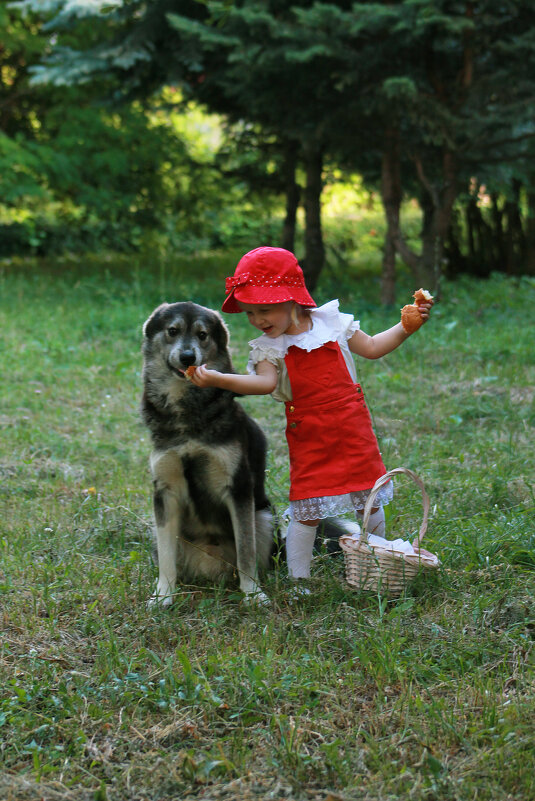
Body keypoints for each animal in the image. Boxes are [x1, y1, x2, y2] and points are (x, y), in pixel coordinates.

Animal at [141, 304, 276, 604]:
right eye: (173, 331)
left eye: (202, 335)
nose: (187, 356)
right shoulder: (164, 491)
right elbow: (166, 557)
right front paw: (163, 595)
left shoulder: (238, 487)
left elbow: (246, 552)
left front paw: (253, 594)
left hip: (264, 516)